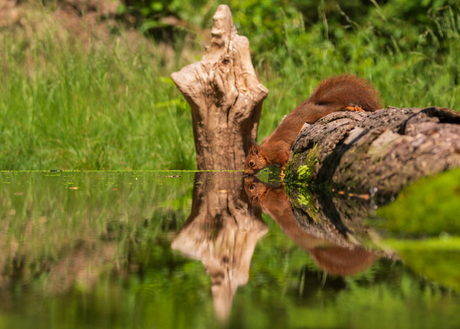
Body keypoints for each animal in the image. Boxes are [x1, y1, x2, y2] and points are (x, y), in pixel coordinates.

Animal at [244, 74, 380, 176]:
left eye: (251, 163)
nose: (245, 173)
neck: (265, 151)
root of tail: (311, 102)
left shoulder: (278, 150)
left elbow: (284, 158)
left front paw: (282, 171)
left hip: (321, 112)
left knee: (337, 105)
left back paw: (352, 107)